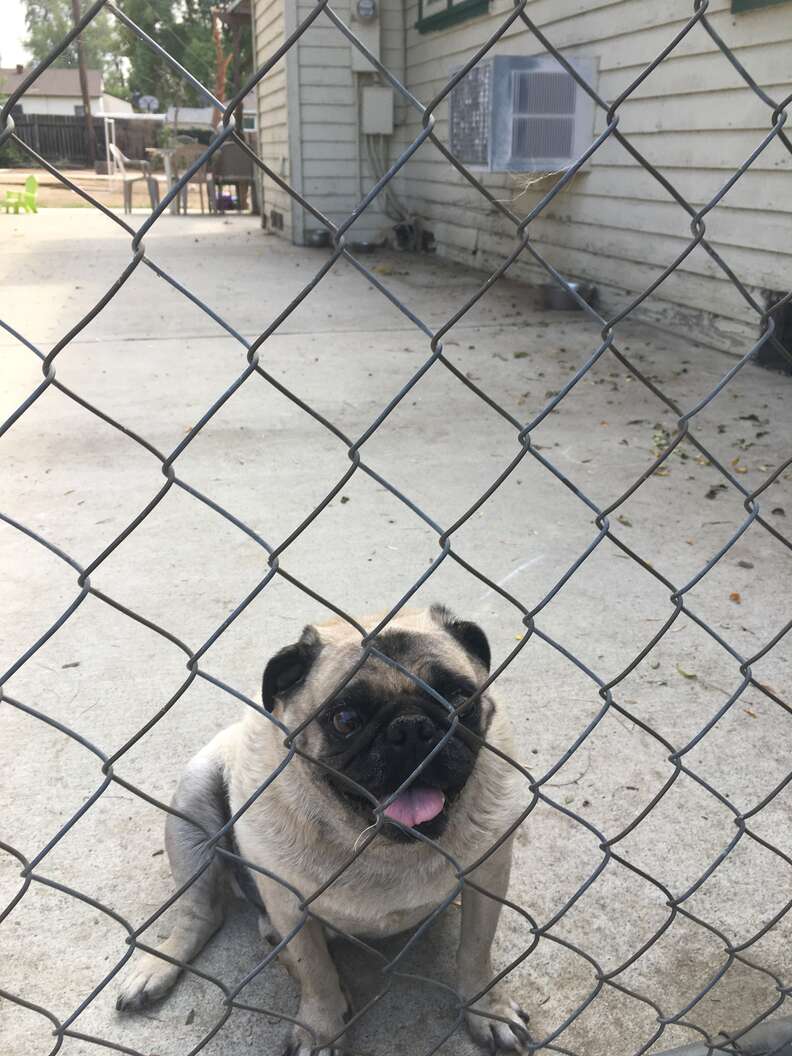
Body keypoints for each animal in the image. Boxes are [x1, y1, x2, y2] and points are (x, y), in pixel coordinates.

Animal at [116, 608, 528, 1051]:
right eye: (345, 721)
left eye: (458, 699)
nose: (410, 728)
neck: (381, 846)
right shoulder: (289, 906)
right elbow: (315, 972)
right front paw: (322, 1026)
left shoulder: (487, 879)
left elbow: (475, 953)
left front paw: (488, 1009)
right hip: (192, 800)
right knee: (200, 915)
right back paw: (156, 968)